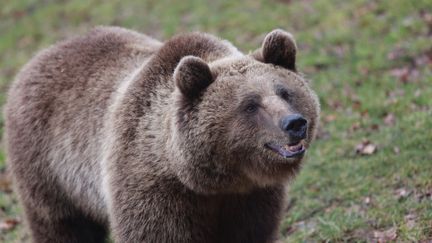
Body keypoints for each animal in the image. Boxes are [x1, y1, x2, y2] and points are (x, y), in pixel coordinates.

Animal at [4, 26, 320, 243]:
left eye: (285, 92)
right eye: (250, 104)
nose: (294, 123)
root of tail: (38, 57)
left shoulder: (251, 198)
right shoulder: (152, 189)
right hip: (49, 171)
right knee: (61, 225)